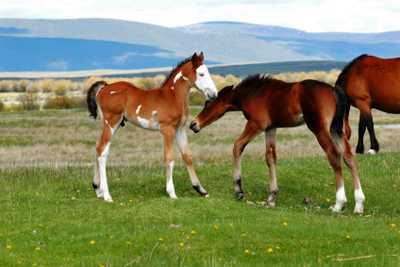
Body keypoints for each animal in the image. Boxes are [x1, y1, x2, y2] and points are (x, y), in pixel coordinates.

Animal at [86, 52, 217, 203]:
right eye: (201, 74)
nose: (213, 94)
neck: (172, 96)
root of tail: (104, 88)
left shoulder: (180, 129)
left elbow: (187, 156)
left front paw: (201, 190)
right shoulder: (167, 130)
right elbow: (169, 158)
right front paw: (172, 193)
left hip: (112, 124)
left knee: (98, 147)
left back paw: (98, 189)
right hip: (111, 122)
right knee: (102, 151)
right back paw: (107, 195)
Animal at [191, 75, 366, 214]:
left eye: (208, 104)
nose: (193, 124)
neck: (254, 93)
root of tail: (333, 90)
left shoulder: (256, 124)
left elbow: (237, 146)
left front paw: (239, 191)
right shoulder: (271, 128)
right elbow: (271, 157)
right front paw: (272, 196)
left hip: (320, 129)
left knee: (334, 156)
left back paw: (339, 204)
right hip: (336, 129)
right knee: (349, 157)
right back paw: (359, 204)